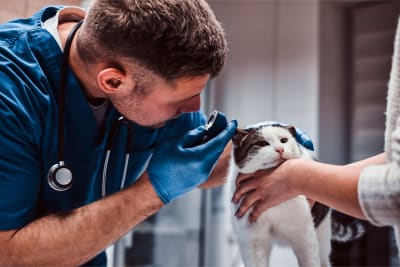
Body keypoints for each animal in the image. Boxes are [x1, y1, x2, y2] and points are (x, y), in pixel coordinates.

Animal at [227, 124, 368, 267]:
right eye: (261, 143)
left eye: (284, 140)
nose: (280, 149)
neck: (274, 206)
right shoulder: (254, 240)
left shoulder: (304, 235)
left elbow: (310, 260)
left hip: (322, 234)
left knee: (323, 259)